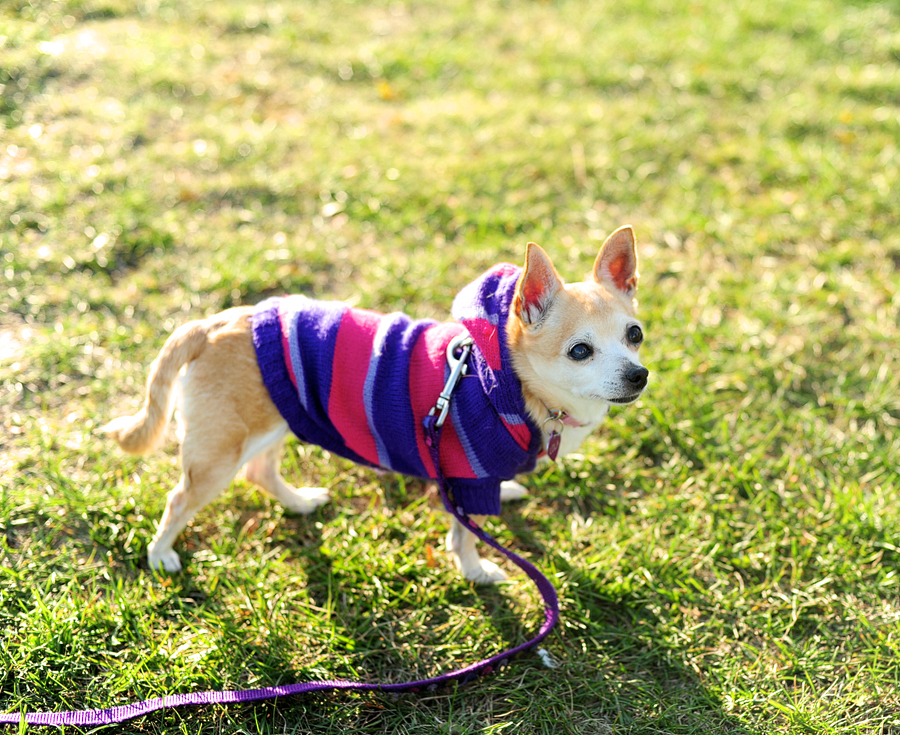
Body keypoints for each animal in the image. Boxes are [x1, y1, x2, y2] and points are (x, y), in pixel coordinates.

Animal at [105, 227, 648, 584]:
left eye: (635, 335)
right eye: (579, 351)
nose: (638, 375)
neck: (510, 382)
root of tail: (213, 323)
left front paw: (509, 491)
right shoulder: (465, 479)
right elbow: (465, 535)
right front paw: (477, 572)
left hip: (276, 421)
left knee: (260, 472)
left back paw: (299, 503)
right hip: (219, 454)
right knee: (181, 499)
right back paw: (160, 554)